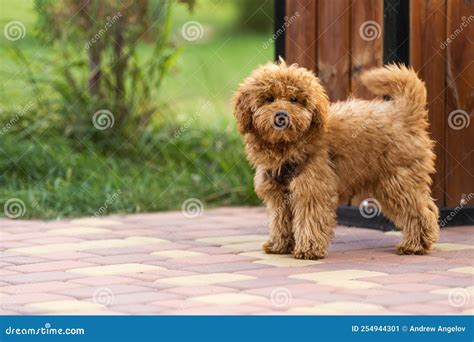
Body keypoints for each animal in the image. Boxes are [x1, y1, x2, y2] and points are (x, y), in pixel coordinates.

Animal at [234, 60, 440, 260]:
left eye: (294, 99)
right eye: (269, 99)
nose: (281, 116)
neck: (286, 146)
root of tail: (404, 114)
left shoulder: (312, 189)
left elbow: (310, 219)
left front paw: (309, 249)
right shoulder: (278, 194)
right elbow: (280, 221)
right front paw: (279, 245)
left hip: (398, 181)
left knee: (421, 212)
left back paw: (415, 245)